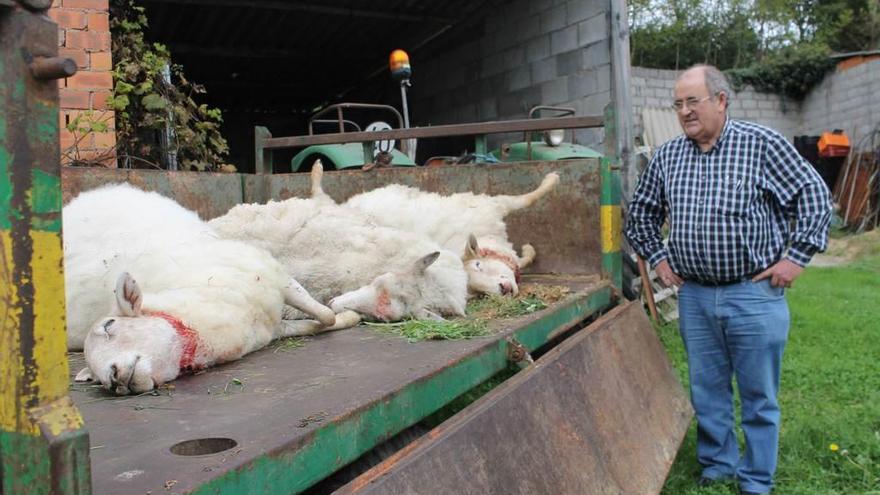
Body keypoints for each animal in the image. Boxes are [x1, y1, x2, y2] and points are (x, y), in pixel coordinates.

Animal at [342, 171, 556, 294]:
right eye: (480, 293)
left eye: (479, 265)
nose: (503, 289)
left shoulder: (493, 205)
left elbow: (525, 199)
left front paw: (552, 178)